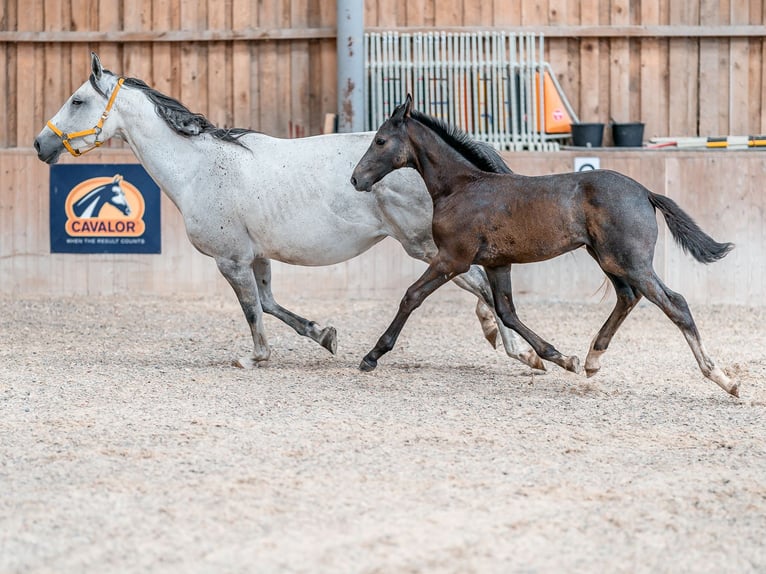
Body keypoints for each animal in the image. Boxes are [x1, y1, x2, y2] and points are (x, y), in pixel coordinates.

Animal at [34, 52, 543, 371]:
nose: (41, 145)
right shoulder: (256, 257)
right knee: (483, 284)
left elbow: (252, 312)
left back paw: (517, 349)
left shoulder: (231, 260)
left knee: (479, 284)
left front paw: (254, 357)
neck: (200, 167)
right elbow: (271, 304)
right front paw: (324, 334)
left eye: (78, 100)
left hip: (424, 246)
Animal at [350, 95, 738, 397]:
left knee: (675, 303)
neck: (461, 187)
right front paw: (560, 358)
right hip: (607, 258)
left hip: (629, 260)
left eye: (380, 140)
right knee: (628, 296)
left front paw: (372, 355)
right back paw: (592, 359)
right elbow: (507, 311)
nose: (355, 179)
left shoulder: (452, 259)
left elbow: (411, 296)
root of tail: (644, 191)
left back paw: (723, 379)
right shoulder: (497, 263)